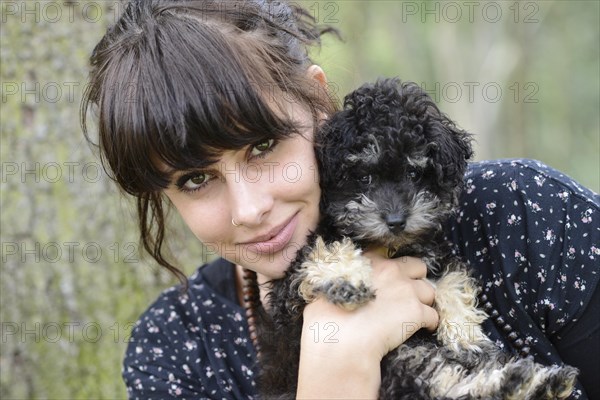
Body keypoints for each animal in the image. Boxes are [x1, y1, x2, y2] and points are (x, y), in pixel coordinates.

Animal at [256, 79, 576, 400]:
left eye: (413, 172)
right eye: (364, 178)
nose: (396, 220)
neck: (391, 247)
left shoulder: (435, 254)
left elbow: (452, 280)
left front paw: (464, 333)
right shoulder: (289, 298)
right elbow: (323, 248)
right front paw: (347, 279)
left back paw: (539, 382)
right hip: (404, 361)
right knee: (441, 382)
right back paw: (525, 382)